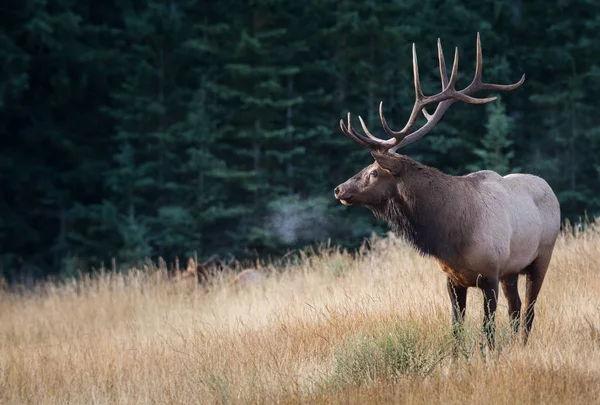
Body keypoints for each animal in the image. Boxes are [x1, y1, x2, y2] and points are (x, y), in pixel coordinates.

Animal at [336, 34, 560, 348]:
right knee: (515, 308)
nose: (339, 189)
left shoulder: (490, 273)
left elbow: (487, 329)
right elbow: (456, 328)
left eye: (373, 172)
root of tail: (548, 186)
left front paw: (488, 355)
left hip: (541, 257)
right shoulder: (453, 278)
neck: (452, 235)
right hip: (512, 270)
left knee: (528, 309)